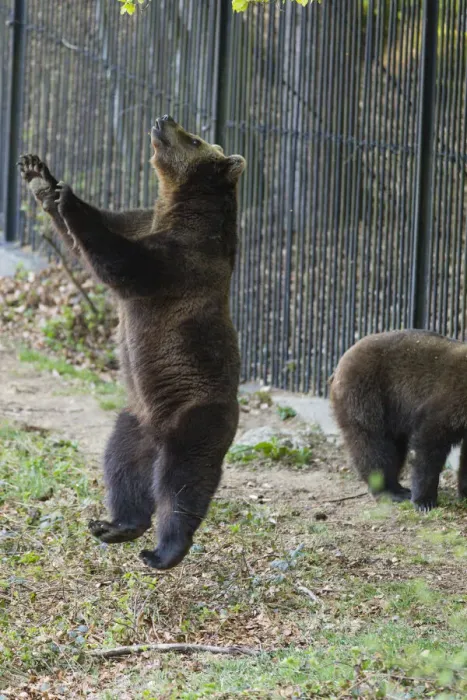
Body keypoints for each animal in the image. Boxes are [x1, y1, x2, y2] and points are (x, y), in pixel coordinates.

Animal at [18, 114, 246, 569]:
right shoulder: (141, 221)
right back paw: (116, 525)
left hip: (197, 413)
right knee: (121, 466)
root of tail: (157, 432)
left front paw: (67, 197)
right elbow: (88, 238)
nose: (164, 120)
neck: (176, 208)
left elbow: (123, 263)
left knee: (183, 480)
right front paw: (39, 177)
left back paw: (164, 550)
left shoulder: (183, 259)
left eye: (195, 139)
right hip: (133, 420)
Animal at [329, 329, 467, 512]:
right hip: (367, 394)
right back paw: (391, 491)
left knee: (394, 448)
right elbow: (429, 442)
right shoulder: (450, 401)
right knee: (372, 445)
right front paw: (424, 501)